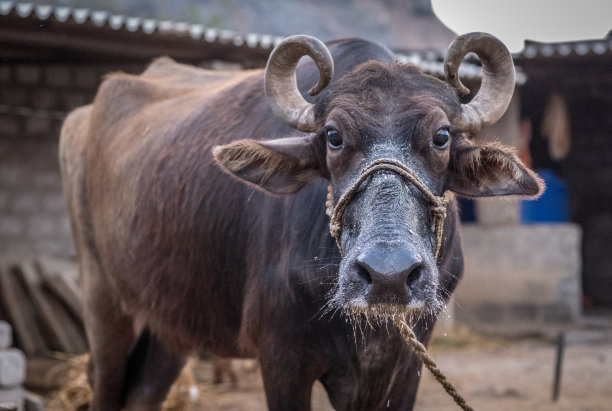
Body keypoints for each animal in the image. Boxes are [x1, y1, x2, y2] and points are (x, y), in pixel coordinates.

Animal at [59, 33, 544, 411]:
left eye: (441, 136)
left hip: (172, 317)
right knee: (105, 381)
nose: (388, 276)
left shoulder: (408, 365)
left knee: (143, 392)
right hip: (102, 298)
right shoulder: (282, 359)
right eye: (333, 137)